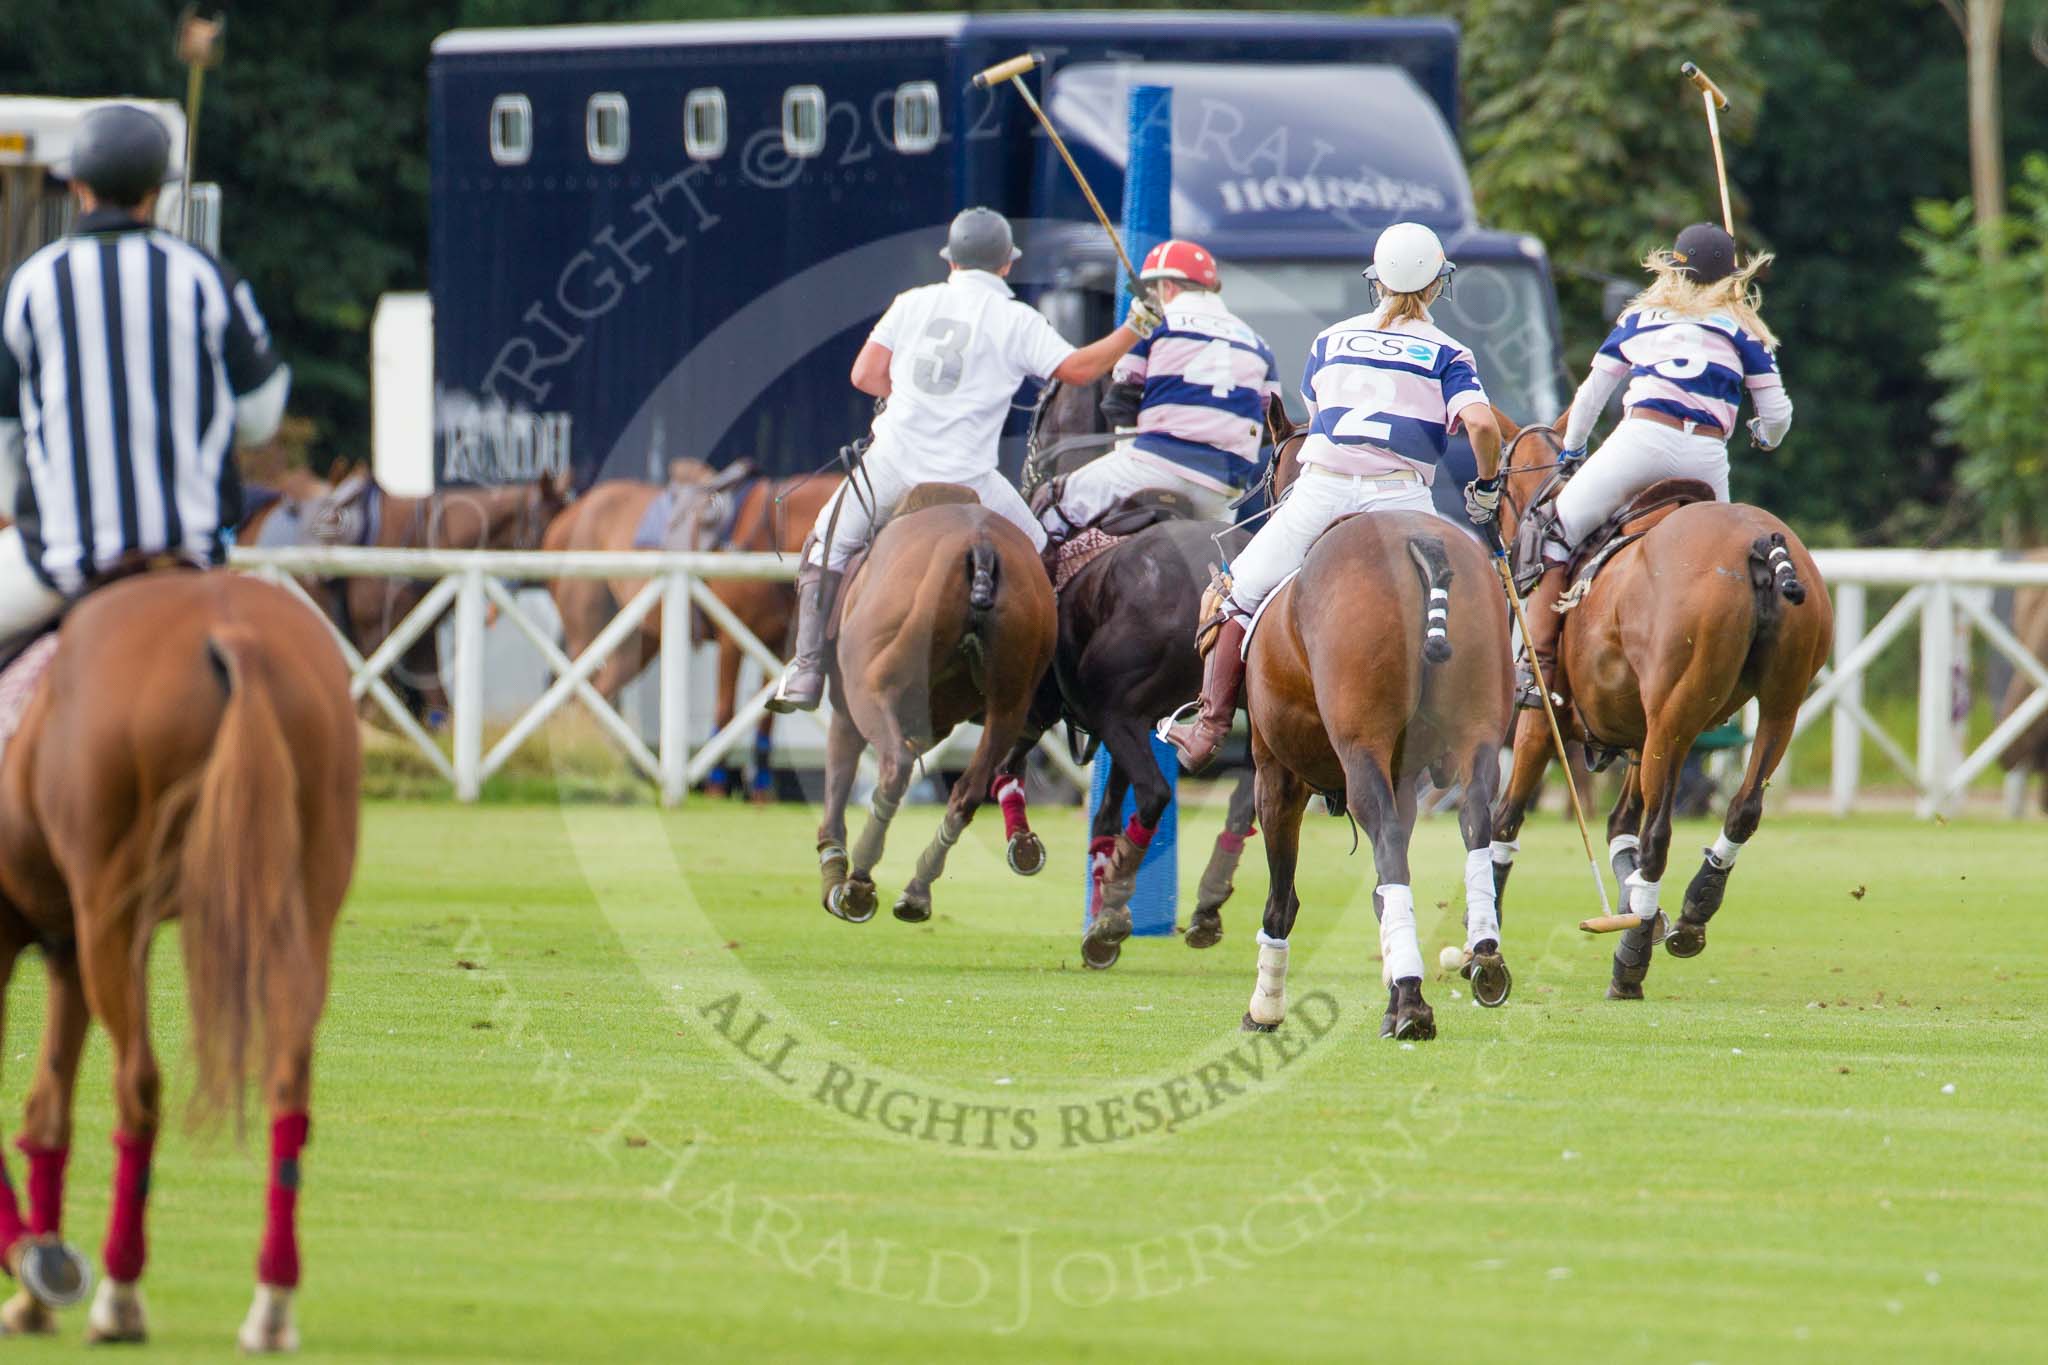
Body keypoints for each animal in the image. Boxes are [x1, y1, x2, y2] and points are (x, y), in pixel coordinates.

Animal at [0, 573, 356, 1350]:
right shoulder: (62, 944)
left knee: (139, 1083)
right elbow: (46, 1108)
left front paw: (37, 1265)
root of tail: (232, 633)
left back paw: (119, 1297)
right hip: (302, 904)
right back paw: (270, 1305)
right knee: (288, 1081)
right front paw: (35, 1290)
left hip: (113, 914)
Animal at [544, 470, 839, 794]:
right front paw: (717, 786)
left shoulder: (776, 646)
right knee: (578, 696)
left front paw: (762, 789)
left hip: (638, 641)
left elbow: (766, 720)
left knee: (599, 694)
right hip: (586, 634)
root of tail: (569, 511)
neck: (771, 529)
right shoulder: (731, 640)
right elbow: (725, 710)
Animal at [815, 485, 1056, 925]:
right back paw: (916, 891)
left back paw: (859, 883)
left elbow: (838, 784)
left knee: (894, 769)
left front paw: (833, 874)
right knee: (968, 792)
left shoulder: (846, 708)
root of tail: (980, 547)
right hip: (1009, 704)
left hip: (870, 689)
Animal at [1228, 507, 1507, 1039]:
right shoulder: (1403, 780)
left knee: (1390, 843)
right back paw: (1483, 957)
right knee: (1476, 818)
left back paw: (1414, 1002)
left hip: (1359, 745)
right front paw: (1392, 988)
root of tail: (1420, 543)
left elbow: (1282, 898)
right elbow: (1380, 890)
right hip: (1478, 723)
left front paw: (1265, 1009)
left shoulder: (1275, 772)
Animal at [1482, 411, 1835, 998]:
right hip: (1773, 707)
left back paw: (1630, 960)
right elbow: (1618, 824)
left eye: (1503, 476)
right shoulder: (1637, 732)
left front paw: (1481, 952)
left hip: (1675, 717)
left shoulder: (1540, 722)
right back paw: (1691, 913)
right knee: (1742, 808)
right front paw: (1645, 913)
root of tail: (1757, 544)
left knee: (1659, 835)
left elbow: (1505, 823)